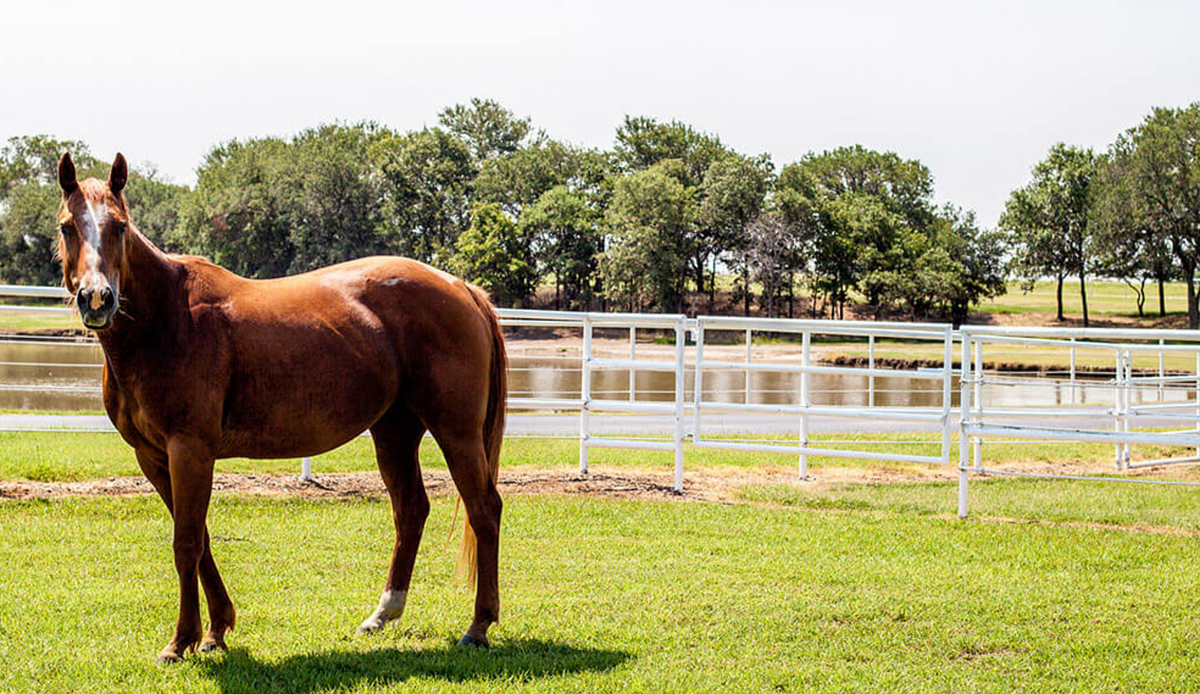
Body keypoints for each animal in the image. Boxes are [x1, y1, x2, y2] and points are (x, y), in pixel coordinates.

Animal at [53, 152, 507, 662]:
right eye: (69, 226)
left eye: (120, 226)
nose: (97, 299)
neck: (168, 318)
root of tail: (460, 287)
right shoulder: (153, 456)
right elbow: (201, 537)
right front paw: (217, 629)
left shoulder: (189, 449)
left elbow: (186, 541)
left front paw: (182, 639)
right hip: (394, 431)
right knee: (411, 509)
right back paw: (382, 614)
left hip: (456, 432)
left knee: (484, 509)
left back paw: (478, 626)